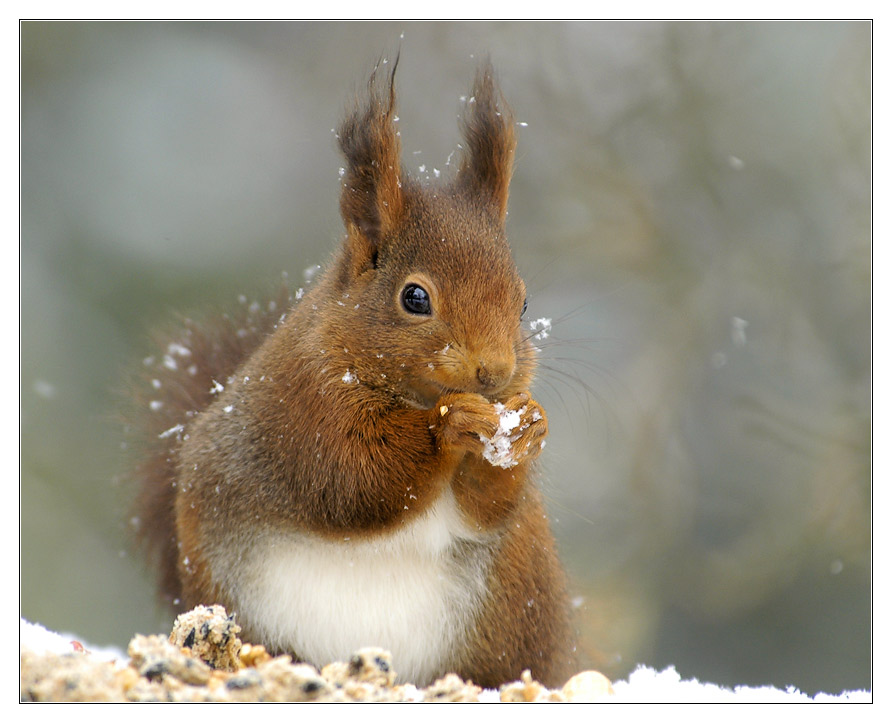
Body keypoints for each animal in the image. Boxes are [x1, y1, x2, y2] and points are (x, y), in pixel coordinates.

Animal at [131, 59, 580, 688]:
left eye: (522, 303)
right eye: (414, 297)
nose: (494, 373)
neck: (415, 397)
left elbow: (485, 508)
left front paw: (528, 428)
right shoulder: (305, 404)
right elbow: (354, 476)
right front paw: (452, 426)